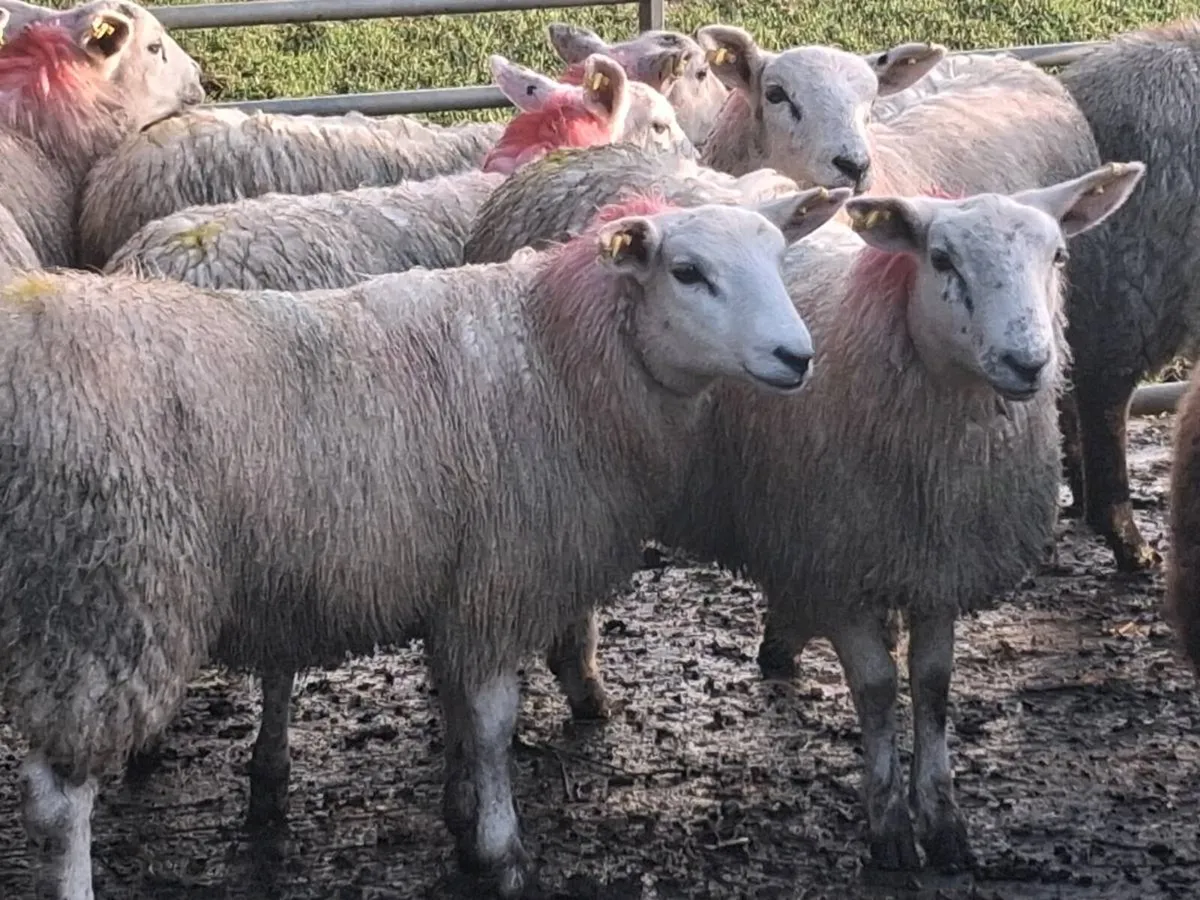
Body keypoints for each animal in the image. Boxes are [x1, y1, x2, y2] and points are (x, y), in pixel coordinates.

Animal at [0, 189, 850, 900]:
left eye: (780, 258)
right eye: (687, 271)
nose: (797, 356)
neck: (556, 354)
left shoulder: (457, 581)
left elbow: (456, 707)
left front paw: (462, 817)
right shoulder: (501, 575)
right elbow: (494, 719)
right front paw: (501, 851)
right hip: (104, 601)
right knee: (58, 799)